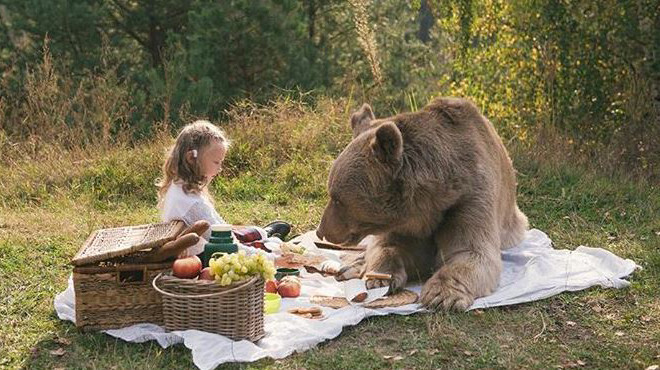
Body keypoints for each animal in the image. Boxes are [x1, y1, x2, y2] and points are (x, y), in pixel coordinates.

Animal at [318, 97, 528, 310]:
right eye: (332, 193)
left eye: (337, 199)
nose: (321, 231)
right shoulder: (405, 223)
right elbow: (388, 247)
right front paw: (379, 278)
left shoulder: (469, 197)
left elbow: (471, 251)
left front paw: (441, 295)